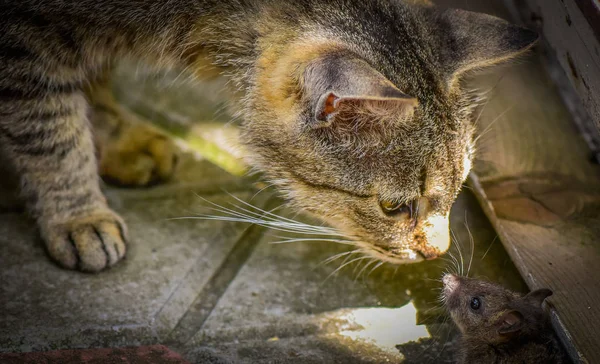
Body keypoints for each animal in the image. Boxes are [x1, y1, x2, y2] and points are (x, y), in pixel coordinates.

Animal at [0, 0, 536, 272]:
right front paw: (77, 216)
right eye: (392, 207)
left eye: (460, 188)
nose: (438, 253)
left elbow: (89, 78)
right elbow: (48, 129)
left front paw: (115, 136)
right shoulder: (27, 38)